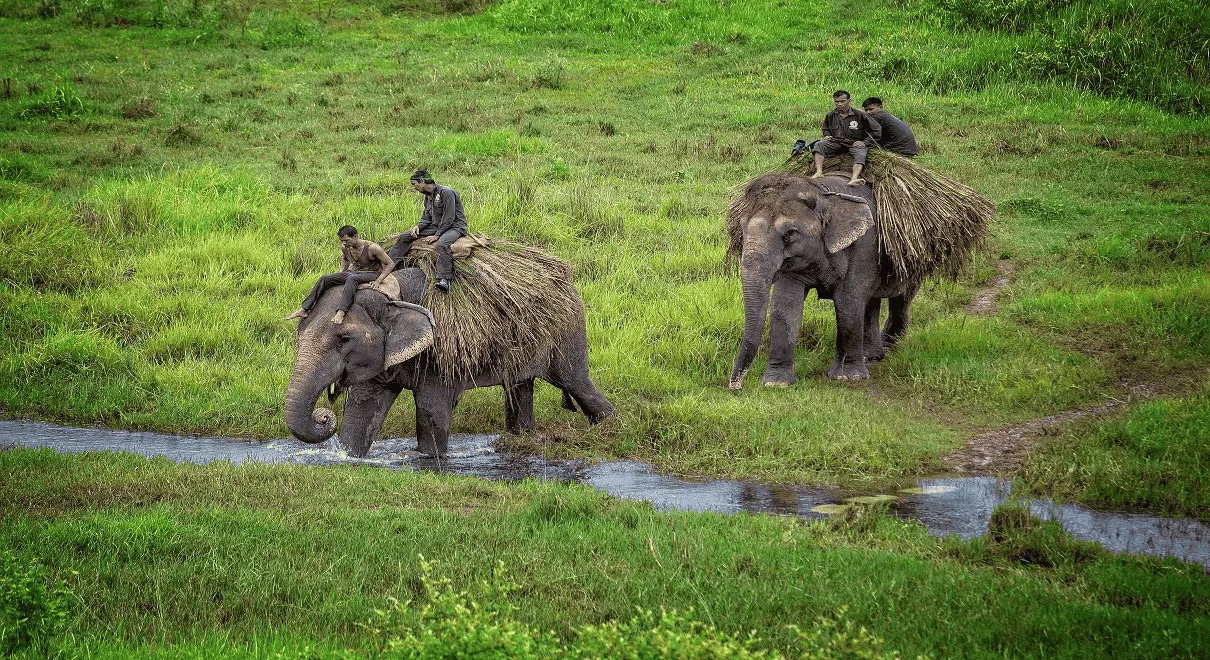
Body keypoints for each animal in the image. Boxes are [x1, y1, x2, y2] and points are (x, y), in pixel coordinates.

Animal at [284, 266, 616, 457]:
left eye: (344, 339)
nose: (323, 416)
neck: (391, 293)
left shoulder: (441, 351)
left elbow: (430, 410)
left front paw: (431, 459)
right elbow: (362, 410)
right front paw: (349, 457)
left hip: (568, 329)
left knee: (577, 382)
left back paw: (612, 430)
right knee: (520, 389)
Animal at [729, 172, 920, 387]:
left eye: (790, 233)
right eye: (742, 228)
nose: (735, 386)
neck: (822, 193)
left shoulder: (865, 246)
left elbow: (848, 301)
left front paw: (847, 377)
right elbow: (785, 305)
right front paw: (776, 383)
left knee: (901, 297)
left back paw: (886, 346)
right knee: (871, 301)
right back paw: (870, 356)